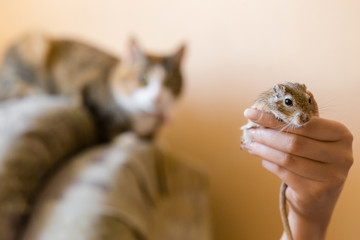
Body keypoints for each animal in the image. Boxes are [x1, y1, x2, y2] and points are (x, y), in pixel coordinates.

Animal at [0, 32, 186, 140]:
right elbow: (112, 132)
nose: (158, 96)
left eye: (169, 83)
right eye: (143, 79)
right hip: (34, 48)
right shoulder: (91, 90)